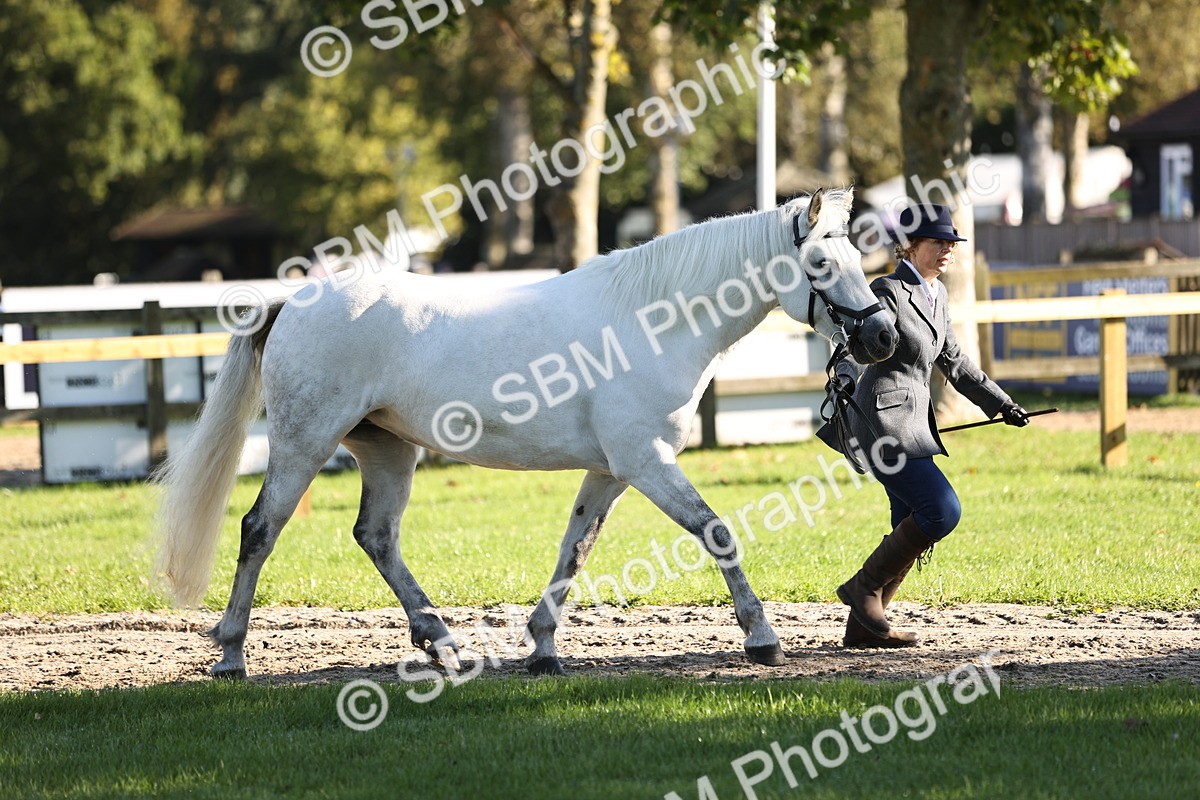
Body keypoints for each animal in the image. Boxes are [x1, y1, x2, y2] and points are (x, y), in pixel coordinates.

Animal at [154, 187, 898, 679]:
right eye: (822, 266)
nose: (883, 337)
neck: (653, 319)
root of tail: (294, 302)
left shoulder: (611, 470)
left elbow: (575, 549)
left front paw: (543, 648)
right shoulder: (646, 461)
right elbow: (715, 531)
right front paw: (762, 637)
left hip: (389, 450)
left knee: (376, 536)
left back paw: (442, 642)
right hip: (304, 442)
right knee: (260, 529)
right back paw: (230, 654)